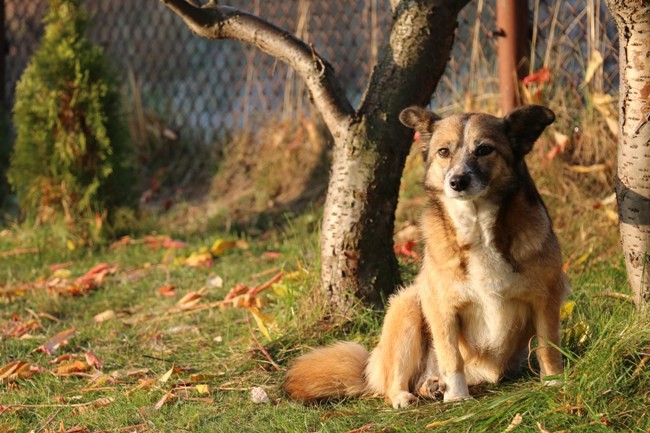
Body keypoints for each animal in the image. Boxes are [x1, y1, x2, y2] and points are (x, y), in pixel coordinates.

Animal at [284, 104, 568, 404]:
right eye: (443, 151)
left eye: (484, 149)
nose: (457, 181)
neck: (477, 226)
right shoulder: (440, 306)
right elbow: (451, 356)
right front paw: (457, 397)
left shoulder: (547, 296)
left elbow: (548, 346)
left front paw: (554, 381)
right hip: (407, 304)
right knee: (395, 381)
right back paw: (407, 396)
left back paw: (431, 386)